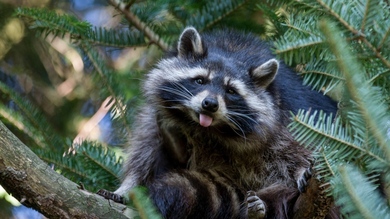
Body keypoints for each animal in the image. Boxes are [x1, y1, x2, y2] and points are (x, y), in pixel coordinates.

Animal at [104, 27, 338, 219]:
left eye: (231, 91)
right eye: (200, 80)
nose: (209, 104)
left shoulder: (286, 118)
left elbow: (296, 150)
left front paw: (300, 170)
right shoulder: (157, 114)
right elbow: (145, 152)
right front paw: (127, 187)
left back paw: (262, 208)